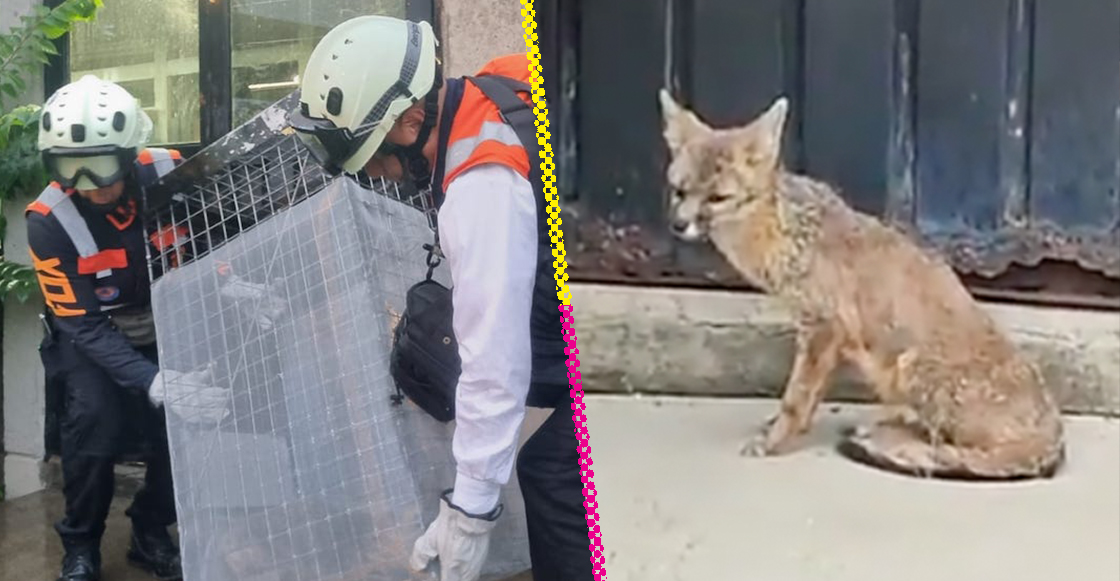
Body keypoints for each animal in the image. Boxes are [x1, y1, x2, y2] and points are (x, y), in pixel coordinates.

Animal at [654, 89, 1066, 481]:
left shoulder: (823, 327)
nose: (677, 225)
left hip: (910, 368)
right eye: (678, 190)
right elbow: (808, 397)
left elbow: (796, 397)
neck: (783, 232)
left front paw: (774, 441)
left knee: (947, 446)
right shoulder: (823, 335)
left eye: (717, 198)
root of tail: (1052, 437)